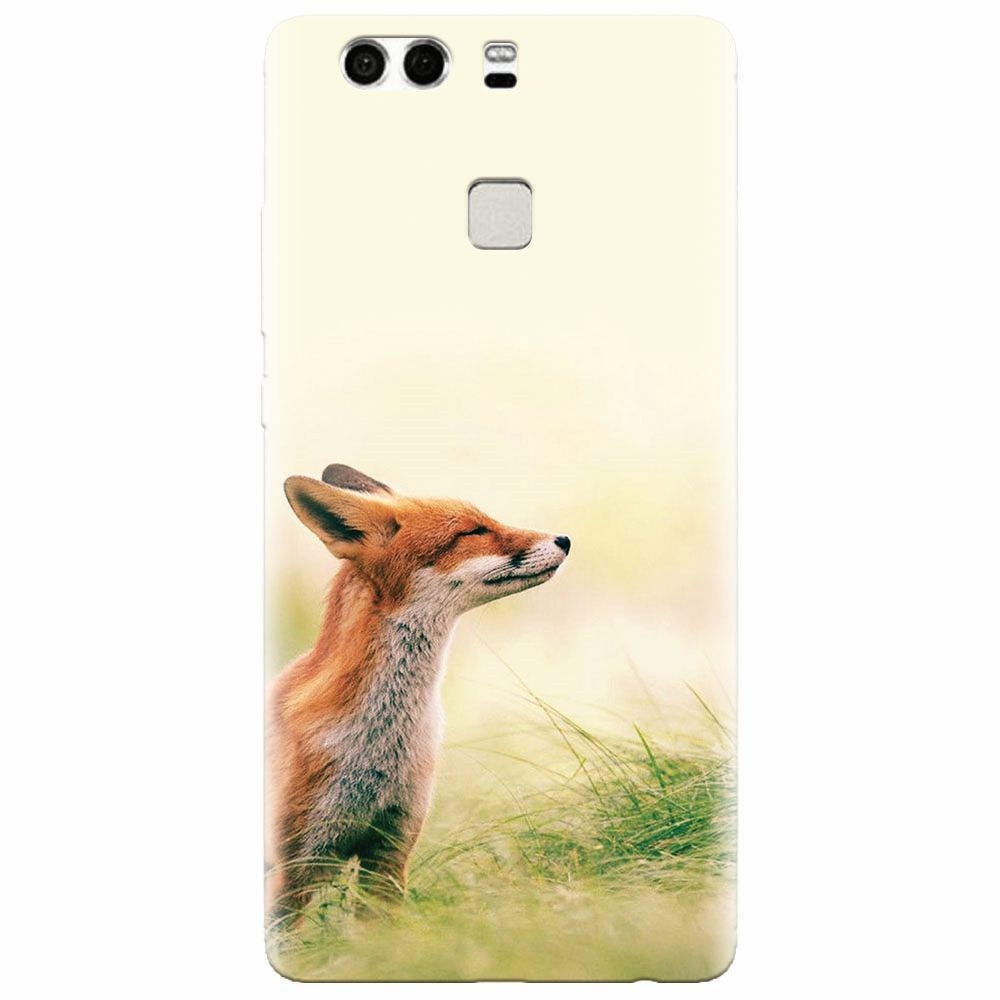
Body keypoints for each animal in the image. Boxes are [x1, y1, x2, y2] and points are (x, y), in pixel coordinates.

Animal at [267, 463, 570, 922]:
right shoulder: (292, 870)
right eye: (473, 531)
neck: (379, 746)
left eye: (487, 520)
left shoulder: (390, 850)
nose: (565, 540)